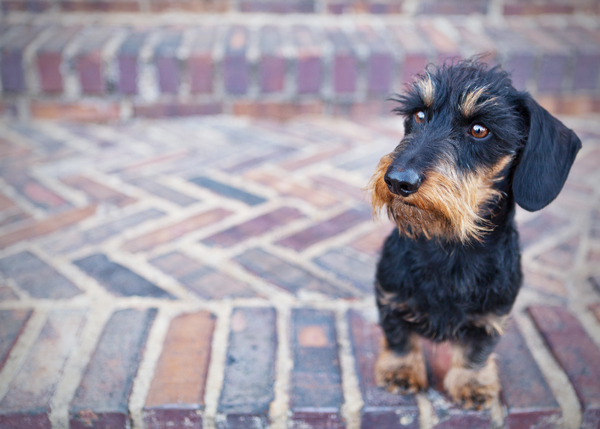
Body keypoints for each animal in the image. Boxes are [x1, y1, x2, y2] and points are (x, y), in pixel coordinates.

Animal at [366, 59, 580, 408]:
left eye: (479, 130)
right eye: (420, 115)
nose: (397, 180)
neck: (451, 247)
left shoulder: (492, 315)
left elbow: (476, 351)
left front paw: (473, 384)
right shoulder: (390, 295)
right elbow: (399, 336)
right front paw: (401, 370)